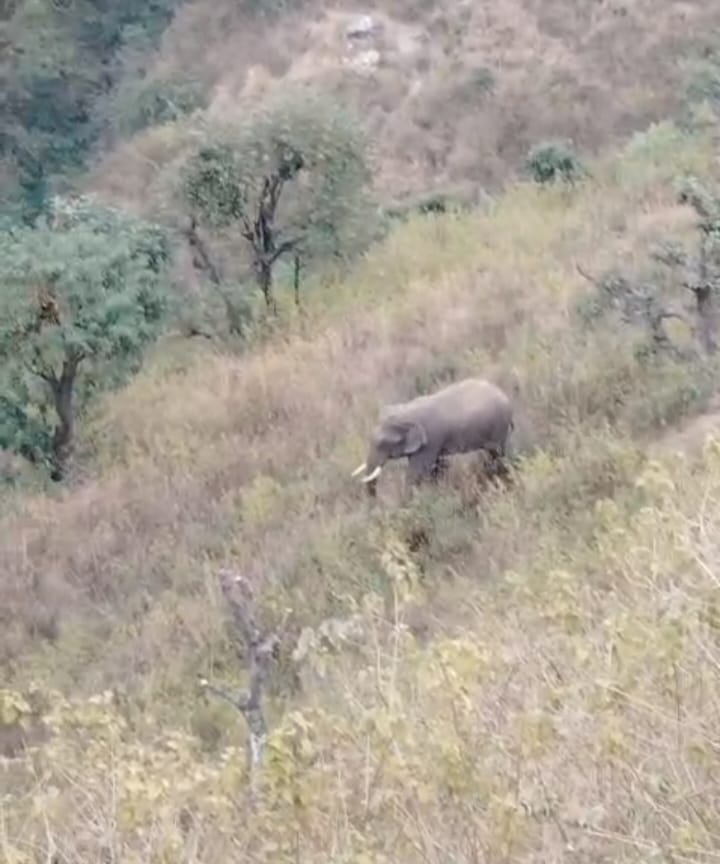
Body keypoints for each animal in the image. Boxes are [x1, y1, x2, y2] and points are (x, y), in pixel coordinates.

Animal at [351, 377, 514, 492]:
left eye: (382, 443)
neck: (406, 412)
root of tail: (506, 397)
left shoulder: (430, 440)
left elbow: (416, 473)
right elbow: (437, 467)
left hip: (498, 427)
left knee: (497, 454)